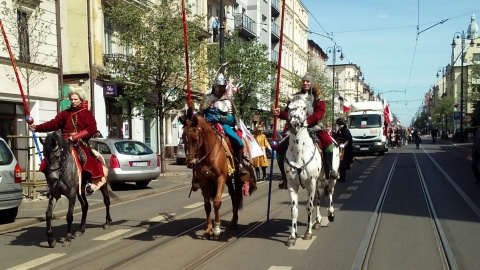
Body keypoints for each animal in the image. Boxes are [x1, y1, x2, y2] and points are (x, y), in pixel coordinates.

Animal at [284, 95, 340, 247]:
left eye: (304, 108)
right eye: (289, 107)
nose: (294, 124)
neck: (299, 152)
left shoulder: (311, 183)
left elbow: (309, 207)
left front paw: (307, 233)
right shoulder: (292, 185)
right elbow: (294, 210)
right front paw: (292, 236)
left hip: (329, 179)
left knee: (330, 193)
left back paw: (331, 214)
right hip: (317, 181)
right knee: (318, 198)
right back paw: (318, 221)